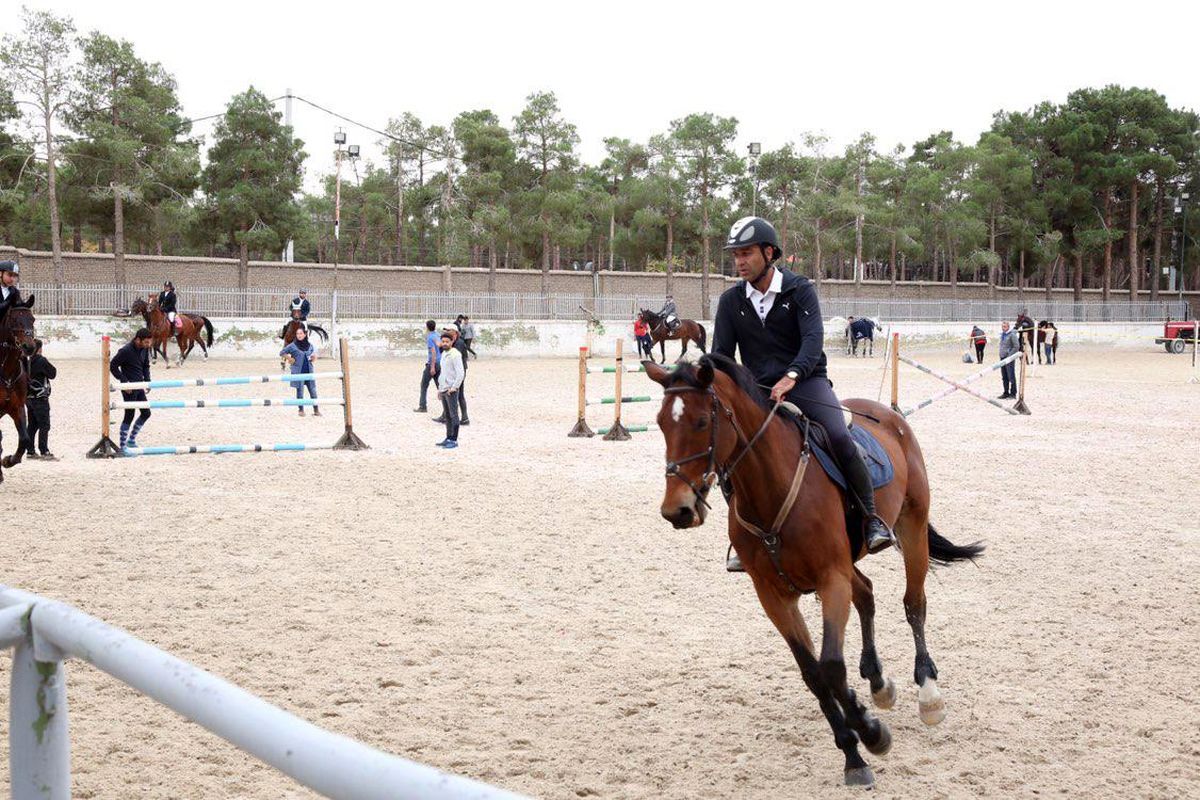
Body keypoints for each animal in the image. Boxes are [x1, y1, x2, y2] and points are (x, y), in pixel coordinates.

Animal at [648, 355, 984, 786]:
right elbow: (813, 673)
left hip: (912, 527)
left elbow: (832, 666)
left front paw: (871, 734)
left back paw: (928, 694)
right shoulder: (773, 596)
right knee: (867, 593)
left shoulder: (831, 580)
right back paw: (878, 683)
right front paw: (853, 752)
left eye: (702, 422)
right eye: (660, 423)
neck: (770, 491)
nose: (677, 510)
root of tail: (889, 415)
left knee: (913, 604)